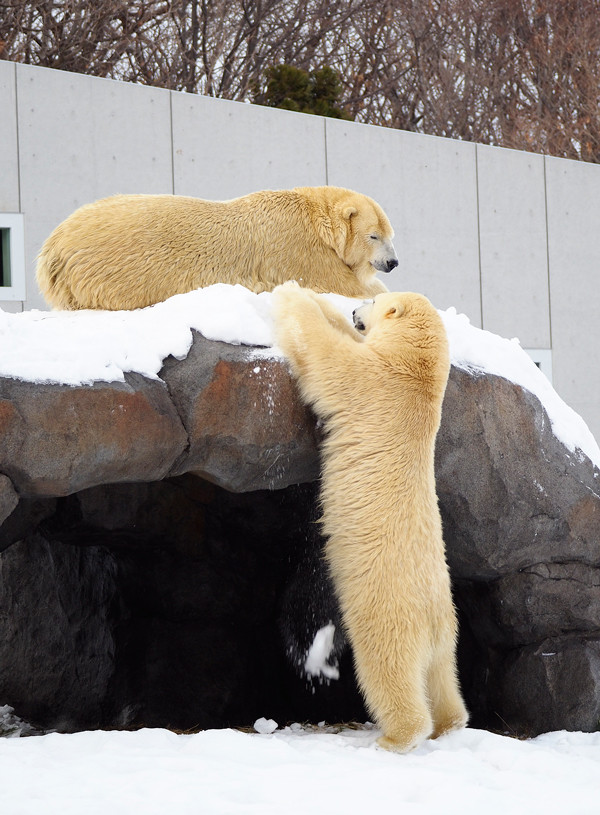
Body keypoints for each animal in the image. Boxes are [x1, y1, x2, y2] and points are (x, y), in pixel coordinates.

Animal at [35, 186, 396, 310]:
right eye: (374, 236)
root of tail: (53, 245)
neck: (313, 214)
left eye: (390, 234)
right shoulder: (298, 250)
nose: (392, 263)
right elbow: (340, 283)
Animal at [272, 284, 468, 756]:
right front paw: (320, 299)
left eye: (375, 302)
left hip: (389, 615)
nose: (357, 310)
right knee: (443, 679)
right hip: (446, 635)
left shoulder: (377, 383)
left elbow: (327, 360)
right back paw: (451, 723)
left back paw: (395, 738)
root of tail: (432, 621)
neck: (419, 377)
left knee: (387, 671)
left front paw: (291, 295)